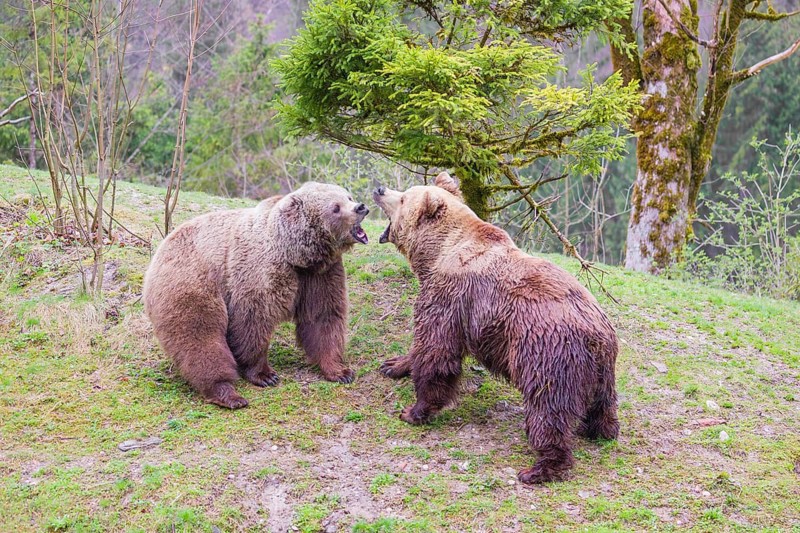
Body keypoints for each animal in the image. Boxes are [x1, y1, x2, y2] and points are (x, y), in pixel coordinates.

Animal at [143, 182, 369, 409]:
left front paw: (341, 371)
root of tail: (161, 248)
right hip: (192, 281)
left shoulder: (320, 275)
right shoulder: (258, 271)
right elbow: (253, 322)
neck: (296, 254)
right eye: (335, 207)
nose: (361, 207)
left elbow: (323, 318)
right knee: (200, 335)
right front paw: (265, 375)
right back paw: (227, 393)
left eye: (347, 196)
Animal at [372, 172, 619, 484]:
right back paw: (601, 429)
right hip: (601, 369)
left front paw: (413, 410)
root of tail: (598, 333)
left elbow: (436, 350)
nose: (379, 189)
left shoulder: (451, 297)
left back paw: (540, 467)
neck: (437, 253)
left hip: (549, 355)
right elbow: (422, 345)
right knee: (603, 402)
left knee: (548, 410)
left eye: (403, 197)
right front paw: (394, 364)